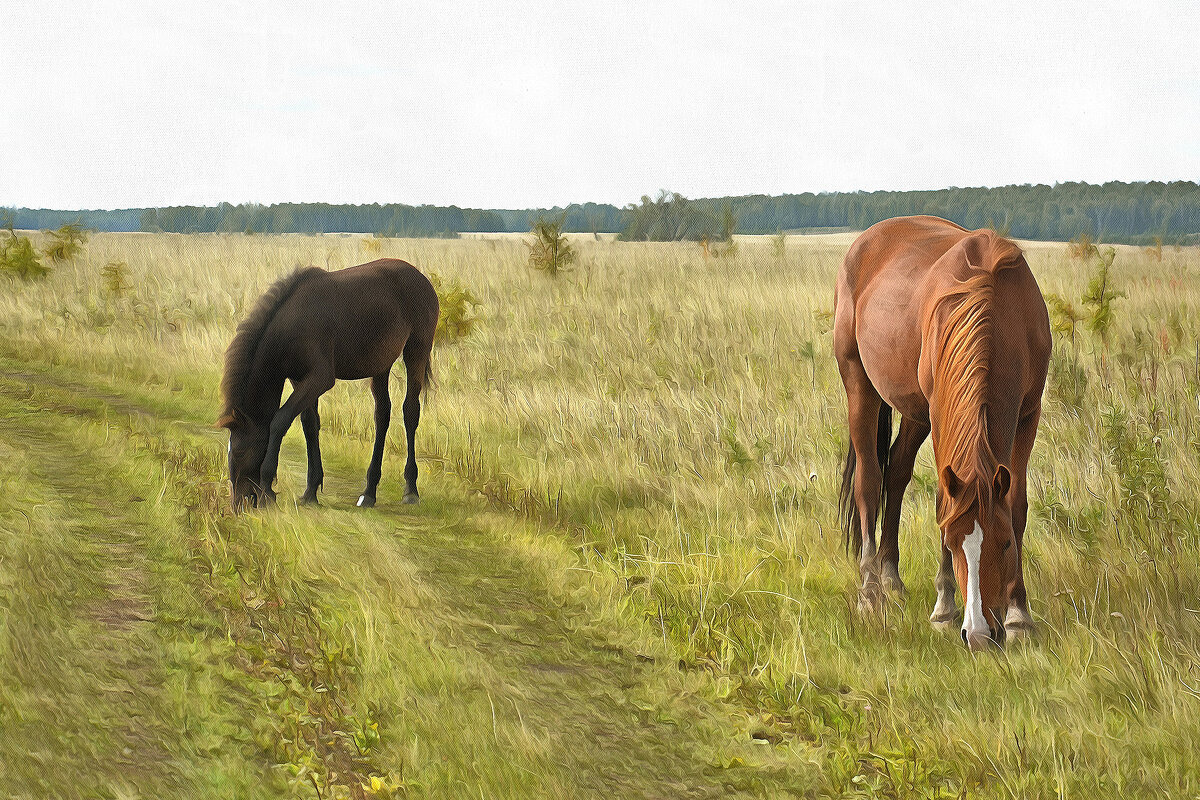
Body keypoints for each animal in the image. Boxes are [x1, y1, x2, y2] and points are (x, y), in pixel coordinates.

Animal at [218, 260, 439, 515]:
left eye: (240, 451)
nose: (238, 504)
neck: (292, 324)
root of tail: (421, 278)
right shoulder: (300, 380)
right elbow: (310, 425)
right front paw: (311, 491)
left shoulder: (320, 378)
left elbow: (280, 421)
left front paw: (267, 490)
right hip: (381, 364)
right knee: (382, 416)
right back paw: (368, 492)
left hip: (416, 350)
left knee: (410, 412)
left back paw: (411, 490)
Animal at [835, 217, 1051, 652]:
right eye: (951, 544)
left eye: (1005, 544)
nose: (981, 634)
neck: (997, 311)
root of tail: (864, 242)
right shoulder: (941, 415)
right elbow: (943, 501)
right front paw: (944, 608)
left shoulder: (1028, 414)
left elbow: (1016, 504)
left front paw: (1019, 614)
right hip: (860, 385)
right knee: (869, 480)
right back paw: (870, 589)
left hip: (916, 412)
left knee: (896, 473)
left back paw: (890, 575)